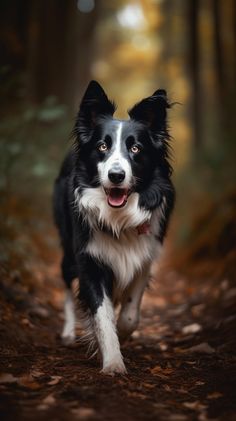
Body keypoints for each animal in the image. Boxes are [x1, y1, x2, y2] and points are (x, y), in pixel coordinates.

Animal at [54, 79, 175, 374]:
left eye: (136, 149)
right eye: (101, 147)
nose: (116, 176)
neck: (119, 217)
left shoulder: (145, 256)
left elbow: (130, 315)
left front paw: (124, 332)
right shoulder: (89, 260)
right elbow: (103, 315)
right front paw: (112, 362)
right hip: (68, 247)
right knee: (66, 283)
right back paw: (68, 332)